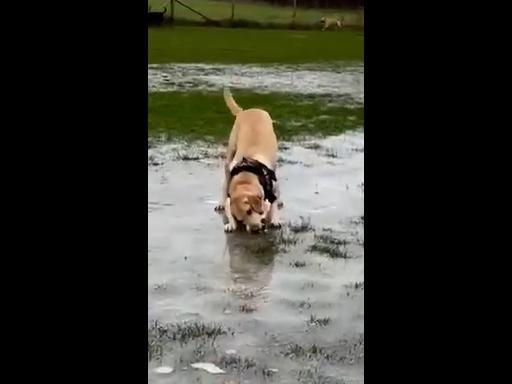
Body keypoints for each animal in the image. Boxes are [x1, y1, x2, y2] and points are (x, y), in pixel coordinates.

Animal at [215, 89, 282, 234]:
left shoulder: (272, 186)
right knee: (224, 181)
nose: (256, 229)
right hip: (229, 156)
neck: (246, 176)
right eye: (241, 219)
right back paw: (220, 202)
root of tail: (245, 111)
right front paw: (231, 224)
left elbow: (274, 203)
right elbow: (228, 207)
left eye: (250, 210)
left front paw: (275, 218)